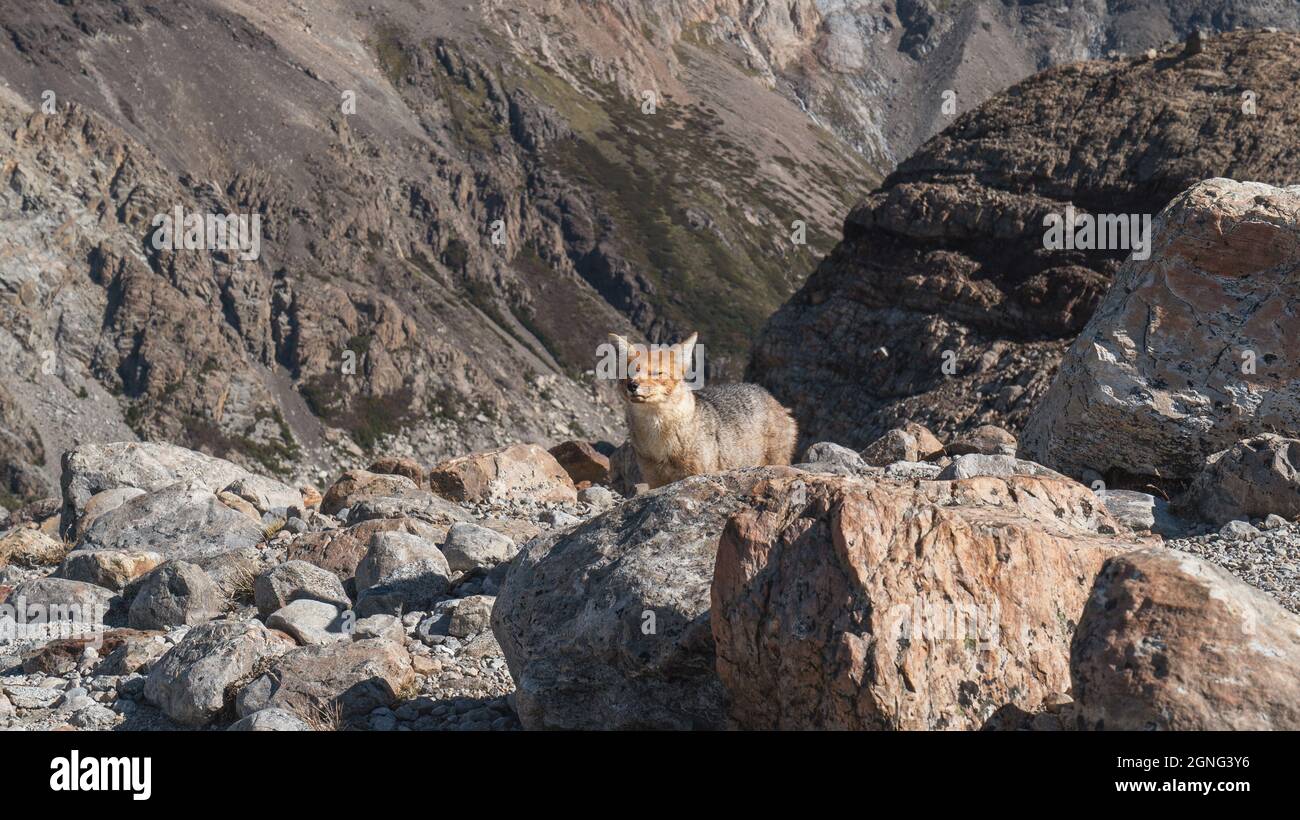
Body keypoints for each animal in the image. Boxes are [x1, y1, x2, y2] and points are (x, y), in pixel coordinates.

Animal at [608, 332, 798, 489]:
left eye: (657, 373)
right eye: (629, 373)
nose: (632, 385)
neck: (659, 439)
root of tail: (771, 397)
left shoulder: (695, 474)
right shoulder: (655, 480)